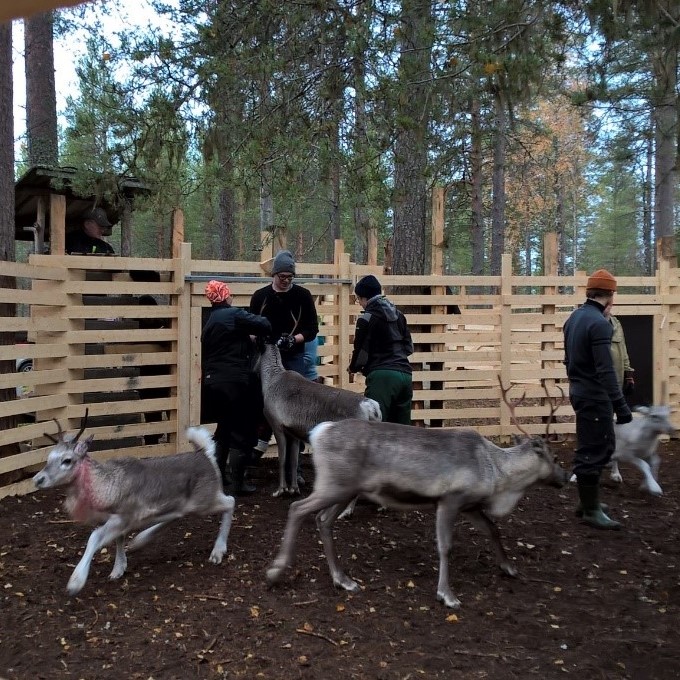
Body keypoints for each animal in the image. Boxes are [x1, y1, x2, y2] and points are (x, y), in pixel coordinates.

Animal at [34, 420, 236, 596]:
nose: (37, 479)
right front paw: (118, 569)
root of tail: (206, 455)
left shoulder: (124, 515)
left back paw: (217, 552)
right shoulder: (118, 519)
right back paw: (140, 540)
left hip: (204, 501)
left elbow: (95, 537)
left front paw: (75, 583)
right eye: (48, 458)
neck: (105, 486)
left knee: (230, 501)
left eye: (67, 460)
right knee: (177, 514)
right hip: (188, 504)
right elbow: (119, 538)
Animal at [266, 422, 568, 608]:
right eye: (553, 457)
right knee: (297, 509)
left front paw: (509, 567)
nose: (567, 476)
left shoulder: (470, 505)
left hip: (345, 490)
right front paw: (447, 595)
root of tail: (319, 432)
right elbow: (445, 547)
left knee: (322, 520)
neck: (497, 475)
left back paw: (343, 580)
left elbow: (493, 529)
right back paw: (276, 571)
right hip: (334, 485)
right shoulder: (450, 499)